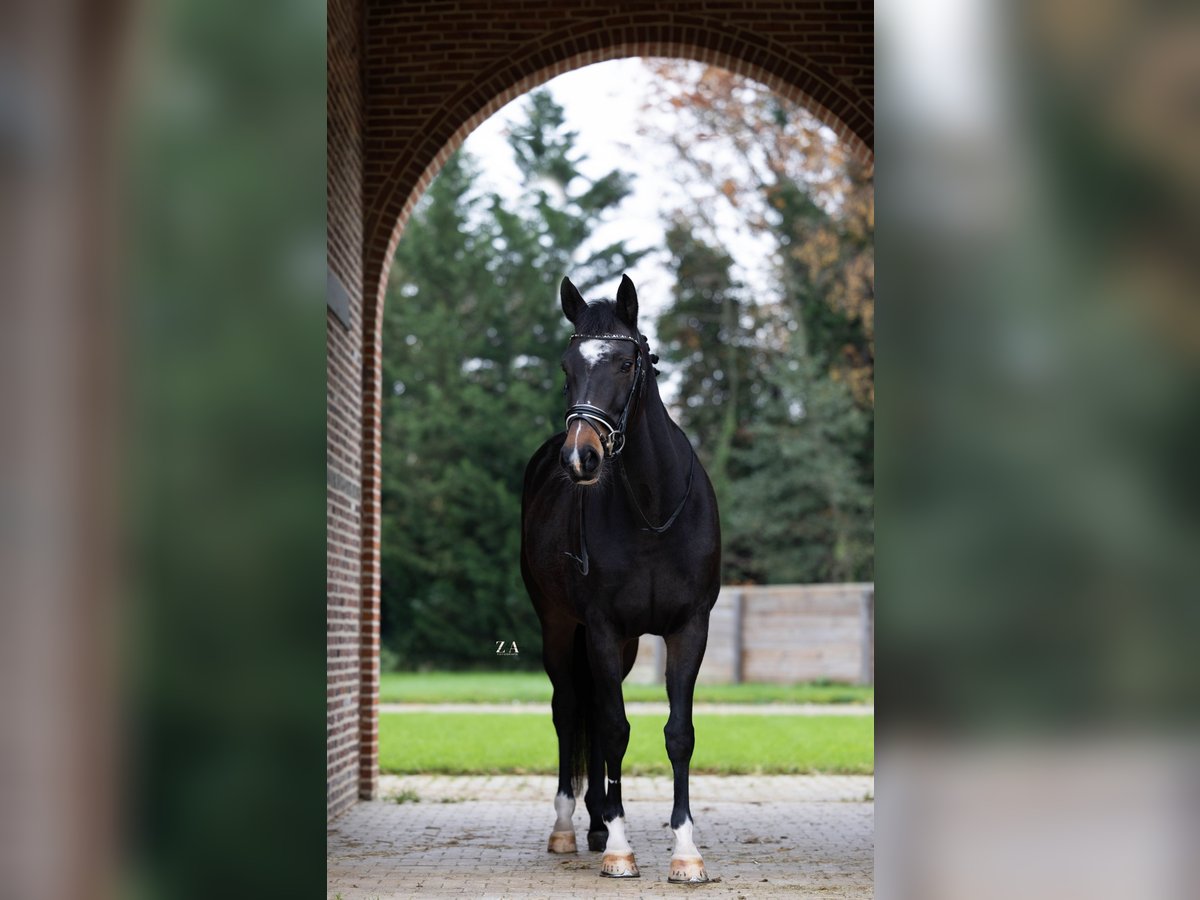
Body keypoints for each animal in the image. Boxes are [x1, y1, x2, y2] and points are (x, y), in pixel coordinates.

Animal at [518, 273, 720, 883]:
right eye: (567, 366)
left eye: (627, 364)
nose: (579, 458)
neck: (652, 511)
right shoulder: (602, 628)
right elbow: (613, 728)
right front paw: (620, 850)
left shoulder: (687, 628)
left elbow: (677, 733)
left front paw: (686, 852)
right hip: (560, 628)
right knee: (569, 711)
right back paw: (569, 828)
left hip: (625, 644)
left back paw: (597, 821)